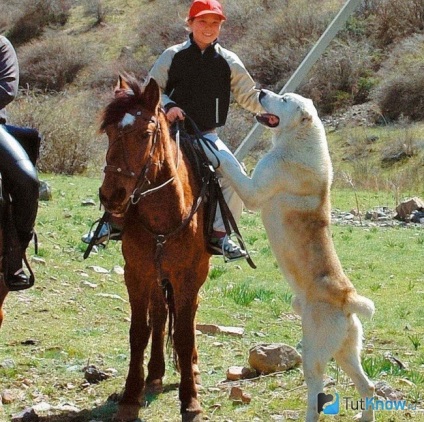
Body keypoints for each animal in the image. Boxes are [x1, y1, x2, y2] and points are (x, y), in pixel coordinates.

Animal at [98, 76, 212, 422]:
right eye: (109, 132)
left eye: (145, 134)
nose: (111, 195)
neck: (164, 215)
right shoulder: (136, 273)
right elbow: (140, 331)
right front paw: (129, 397)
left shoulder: (188, 276)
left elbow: (185, 335)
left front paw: (191, 401)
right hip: (156, 277)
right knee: (160, 315)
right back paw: (156, 373)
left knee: (187, 316)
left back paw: (192, 368)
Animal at [205, 90, 374, 420]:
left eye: (283, 99)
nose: (260, 92)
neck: (298, 137)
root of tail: (347, 298)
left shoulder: (253, 190)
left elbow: (230, 162)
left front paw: (213, 146)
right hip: (345, 352)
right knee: (368, 387)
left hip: (314, 354)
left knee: (317, 392)